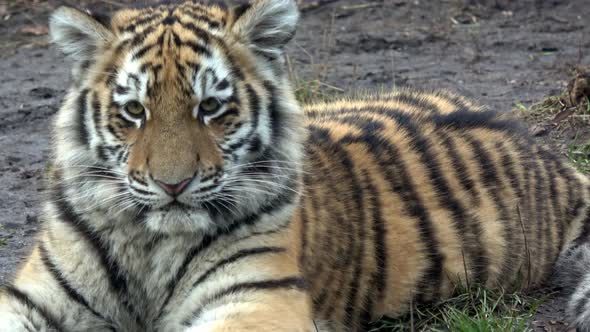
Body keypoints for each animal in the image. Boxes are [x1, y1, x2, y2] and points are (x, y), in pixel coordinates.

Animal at [1, 0, 590, 330]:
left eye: (210, 107)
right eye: (134, 111)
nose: (174, 184)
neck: (150, 246)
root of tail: (549, 154)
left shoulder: (259, 299)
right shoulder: (38, 295)